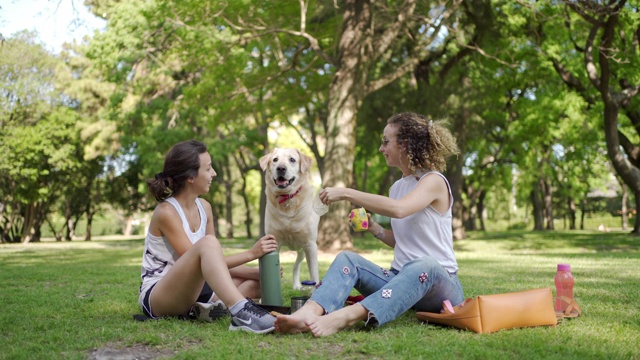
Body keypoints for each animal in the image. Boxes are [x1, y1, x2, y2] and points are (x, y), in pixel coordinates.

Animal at [260, 146, 320, 290]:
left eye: (292, 160)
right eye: (275, 160)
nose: (281, 168)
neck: (287, 199)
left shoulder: (310, 244)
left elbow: (314, 273)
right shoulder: (274, 241)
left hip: (303, 250)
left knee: (296, 266)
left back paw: (297, 285)